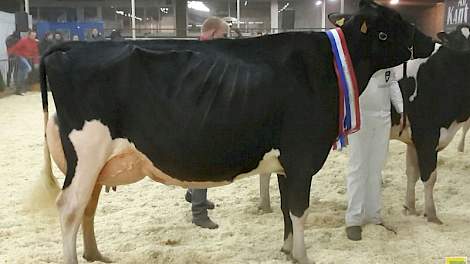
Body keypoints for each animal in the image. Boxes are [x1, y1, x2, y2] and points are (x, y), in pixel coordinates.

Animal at [35, 1, 436, 262]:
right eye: (389, 28)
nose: (431, 42)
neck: (330, 66)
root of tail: (69, 48)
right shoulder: (303, 155)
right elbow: (299, 209)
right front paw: (303, 256)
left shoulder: (286, 162)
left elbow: (287, 209)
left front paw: (287, 250)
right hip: (86, 153)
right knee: (69, 208)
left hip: (94, 163)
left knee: (87, 205)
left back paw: (96, 254)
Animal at [390, 23, 470, 224]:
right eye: (456, 40)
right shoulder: (427, 134)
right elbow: (429, 176)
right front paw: (432, 215)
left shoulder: (413, 139)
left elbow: (412, 172)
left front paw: (409, 208)